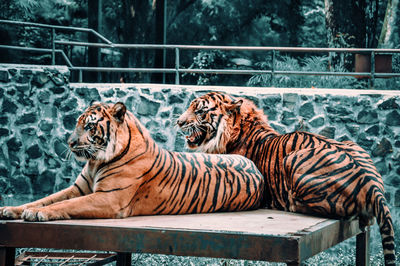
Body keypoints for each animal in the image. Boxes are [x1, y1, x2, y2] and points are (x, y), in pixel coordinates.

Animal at [0, 101, 264, 221]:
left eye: (89, 126)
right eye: (77, 123)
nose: (70, 142)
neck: (96, 162)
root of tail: (255, 167)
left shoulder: (108, 198)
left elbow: (64, 205)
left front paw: (38, 213)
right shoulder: (78, 188)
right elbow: (46, 199)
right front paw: (12, 209)